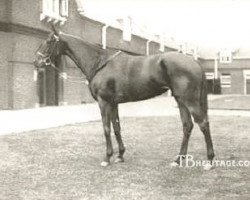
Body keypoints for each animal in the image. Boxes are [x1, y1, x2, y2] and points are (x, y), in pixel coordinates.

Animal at [34, 28, 215, 170]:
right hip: (180, 100)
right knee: (187, 126)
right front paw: (120, 155)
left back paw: (209, 161)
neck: (100, 63)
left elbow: (106, 128)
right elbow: (116, 127)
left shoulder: (104, 102)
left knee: (203, 124)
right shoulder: (113, 103)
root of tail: (194, 62)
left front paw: (107, 158)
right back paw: (178, 160)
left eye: (49, 41)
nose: (37, 62)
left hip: (189, 100)